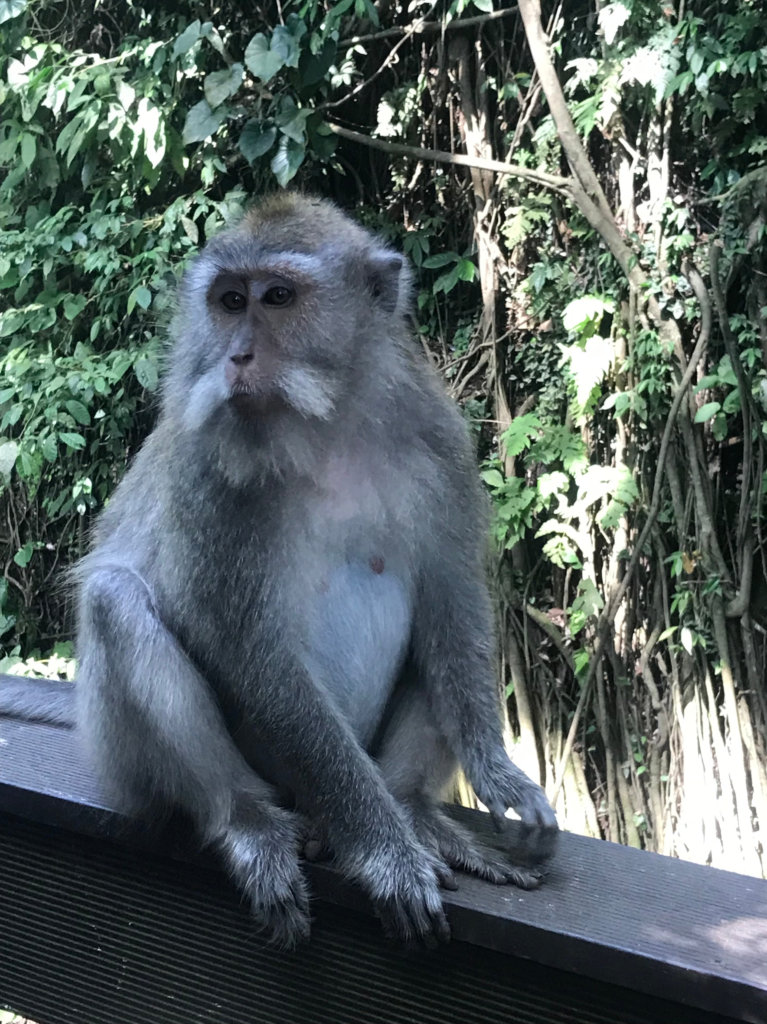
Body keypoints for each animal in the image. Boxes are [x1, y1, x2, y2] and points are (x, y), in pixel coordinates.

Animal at [0, 193, 557, 947]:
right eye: (231, 301)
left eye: (279, 298)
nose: (238, 355)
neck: (327, 425)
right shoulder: (209, 467)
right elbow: (248, 649)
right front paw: (384, 851)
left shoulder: (439, 441)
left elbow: (452, 598)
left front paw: (497, 778)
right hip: (137, 761)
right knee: (116, 601)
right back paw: (252, 819)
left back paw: (412, 807)